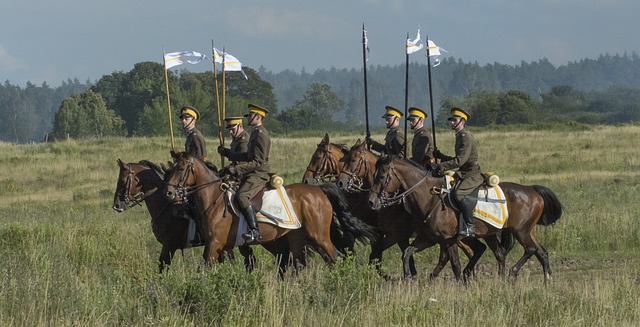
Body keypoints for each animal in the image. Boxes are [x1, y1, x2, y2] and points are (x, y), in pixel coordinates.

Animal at [165, 151, 378, 274]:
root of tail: (318, 190)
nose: (169, 193)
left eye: (181, 169)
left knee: (333, 258)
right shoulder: (221, 246)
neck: (214, 199)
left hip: (319, 236)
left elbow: (205, 270)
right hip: (297, 237)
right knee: (302, 265)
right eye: (171, 168)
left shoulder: (214, 243)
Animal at [336, 140, 510, 280]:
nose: (340, 182)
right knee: (479, 250)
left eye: (353, 159)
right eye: (344, 159)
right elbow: (386, 254)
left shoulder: (398, 234)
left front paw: (404, 277)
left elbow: (381, 253)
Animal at [368, 156, 564, 282]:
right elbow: (407, 252)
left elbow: (454, 264)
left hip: (520, 231)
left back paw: (512, 272)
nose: (371, 201)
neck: (431, 198)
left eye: (382, 176)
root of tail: (532, 190)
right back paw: (544, 279)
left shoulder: (448, 239)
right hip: (506, 232)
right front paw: (409, 276)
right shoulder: (428, 238)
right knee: (535, 252)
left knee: (530, 249)